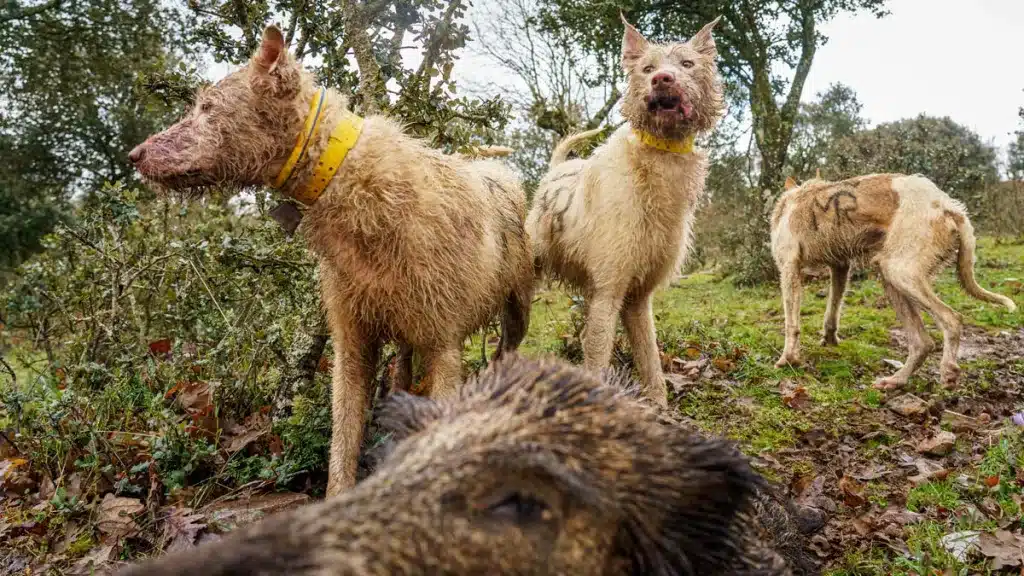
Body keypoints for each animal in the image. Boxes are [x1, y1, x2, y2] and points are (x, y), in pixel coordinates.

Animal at [125, 25, 536, 494]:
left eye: (207, 108)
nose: (133, 155)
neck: (353, 184)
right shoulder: (351, 342)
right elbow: (342, 442)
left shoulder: (444, 347)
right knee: (402, 371)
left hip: (516, 312)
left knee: (504, 351)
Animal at [524, 14, 724, 407]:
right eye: (647, 68)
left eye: (687, 64)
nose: (662, 79)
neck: (657, 158)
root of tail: (555, 171)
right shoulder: (608, 293)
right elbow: (597, 359)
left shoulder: (638, 298)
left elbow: (650, 360)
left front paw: (660, 407)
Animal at [770, 170, 1015, 385]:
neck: (795, 196)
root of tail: (950, 207)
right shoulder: (840, 267)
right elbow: (832, 311)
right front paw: (829, 340)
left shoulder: (789, 268)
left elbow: (791, 323)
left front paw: (788, 359)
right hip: (892, 277)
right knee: (922, 342)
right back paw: (896, 381)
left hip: (898, 272)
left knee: (952, 319)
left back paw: (947, 372)